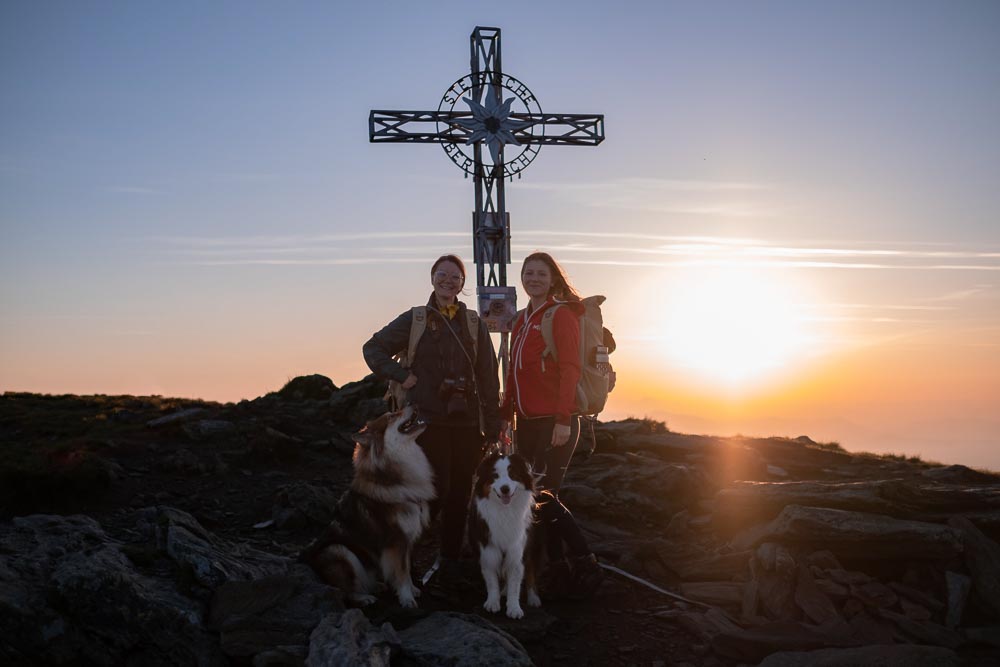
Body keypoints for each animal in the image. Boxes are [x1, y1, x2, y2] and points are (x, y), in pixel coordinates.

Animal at [300, 408, 434, 612]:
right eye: (392, 415)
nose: (414, 404)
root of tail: (307, 559)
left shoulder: (408, 539)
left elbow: (406, 570)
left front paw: (412, 589)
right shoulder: (397, 540)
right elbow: (402, 572)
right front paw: (407, 599)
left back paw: (376, 586)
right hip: (340, 551)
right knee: (344, 592)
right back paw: (364, 598)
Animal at [466, 452, 540, 620]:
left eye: (513, 475)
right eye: (495, 476)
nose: (505, 489)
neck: (504, 511)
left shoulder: (518, 549)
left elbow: (515, 583)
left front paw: (514, 608)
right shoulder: (487, 548)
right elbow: (491, 580)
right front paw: (493, 602)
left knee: (531, 571)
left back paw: (533, 598)